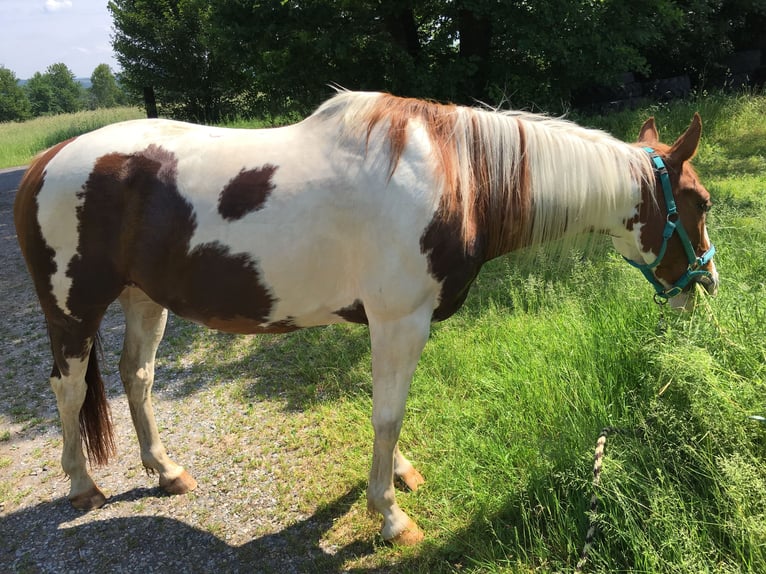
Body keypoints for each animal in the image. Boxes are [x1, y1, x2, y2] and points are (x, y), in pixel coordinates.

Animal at [13, 92, 720, 548]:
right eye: (700, 201)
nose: (706, 285)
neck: (457, 177)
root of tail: (47, 161)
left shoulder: (395, 323)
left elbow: (388, 409)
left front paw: (398, 475)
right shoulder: (400, 319)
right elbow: (388, 412)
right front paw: (391, 515)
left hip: (144, 299)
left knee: (137, 376)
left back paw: (166, 471)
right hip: (73, 309)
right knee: (69, 387)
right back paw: (82, 486)